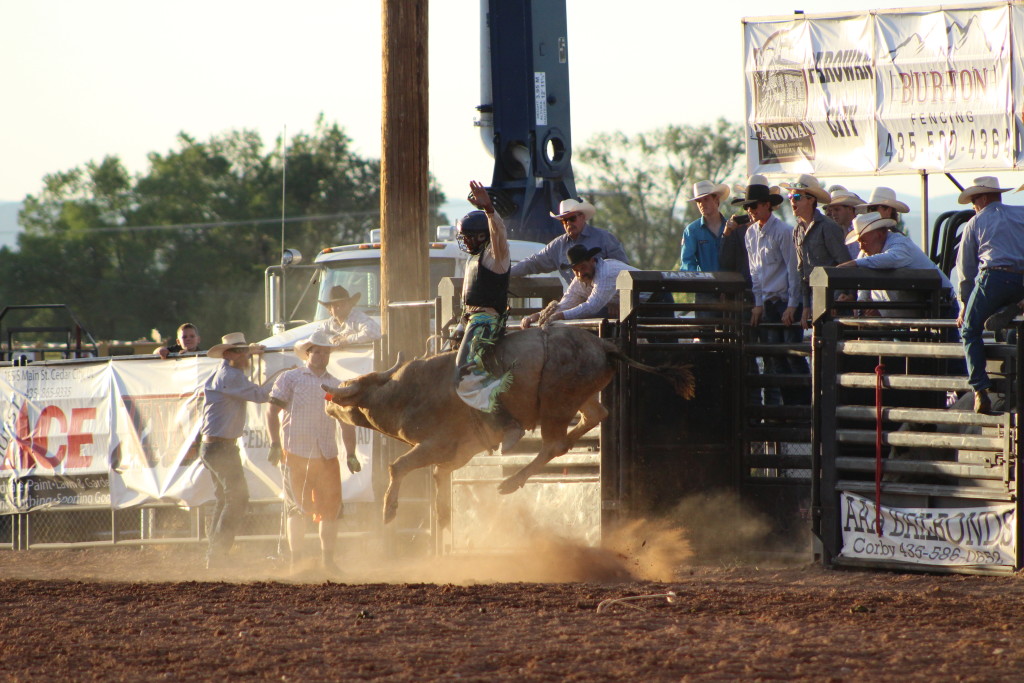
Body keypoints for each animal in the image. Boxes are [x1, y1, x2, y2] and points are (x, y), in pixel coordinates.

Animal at [323, 325, 692, 524]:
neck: (406, 392)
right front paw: (443, 516)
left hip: (556, 403)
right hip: (581, 397)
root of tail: (604, 344)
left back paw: (511, 481)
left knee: (555, 444)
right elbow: (440, 475)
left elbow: (398, 466)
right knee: (595, 416)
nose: (327, 402)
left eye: (349, 387)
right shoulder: (461, 450)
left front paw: (389, 510)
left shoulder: (437, 443)